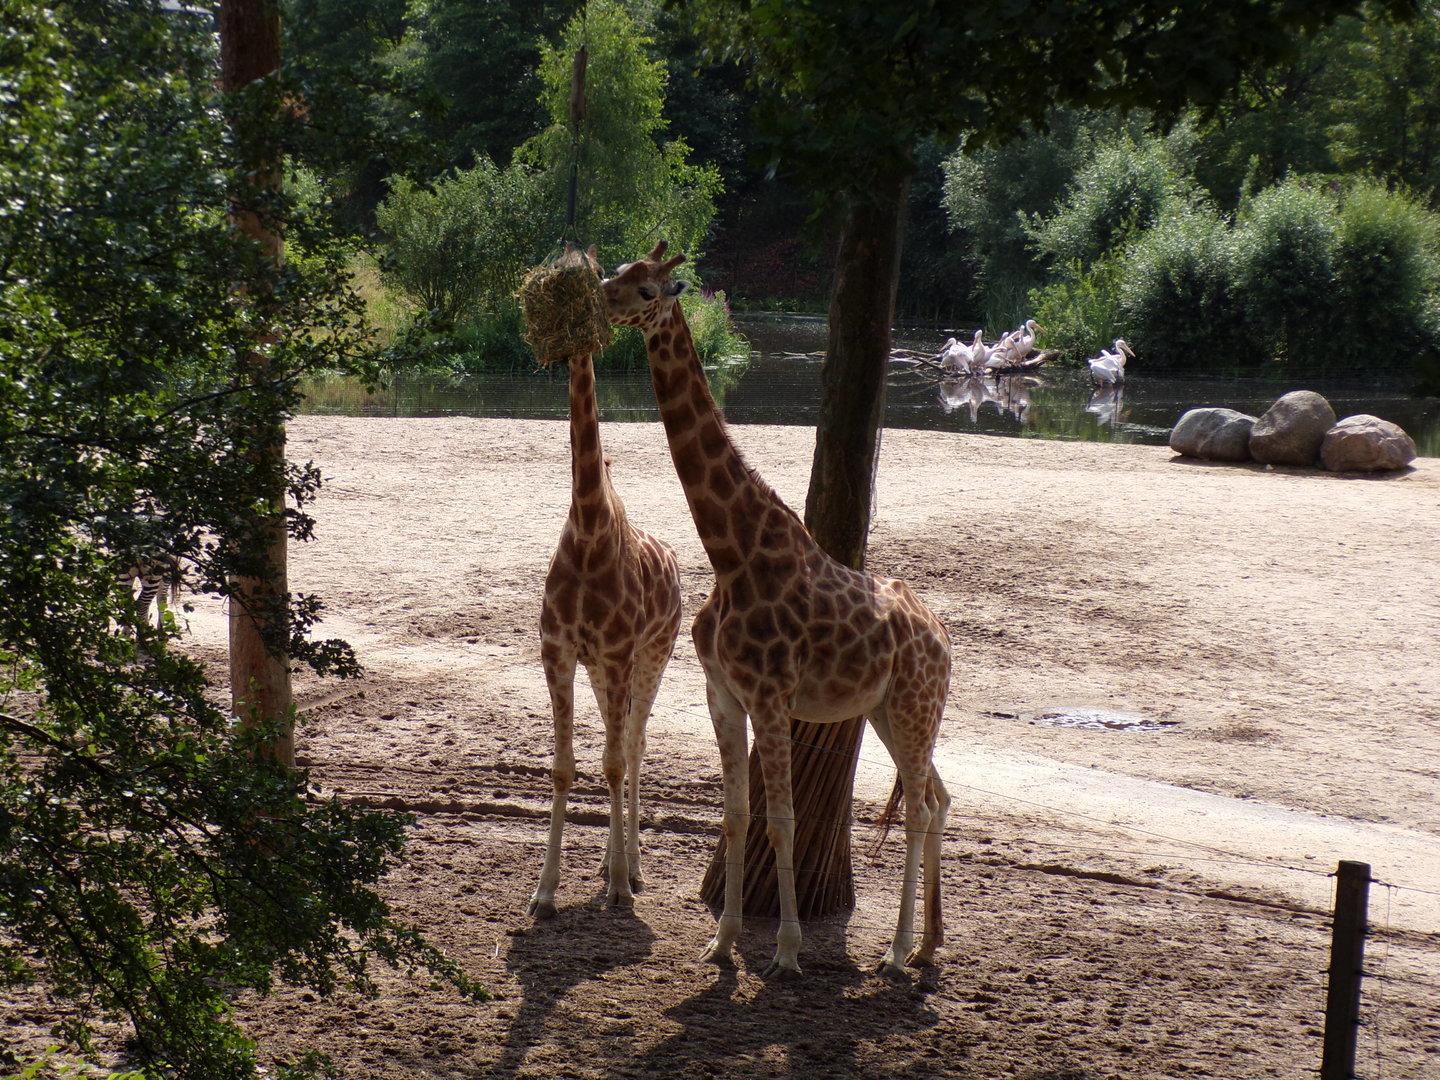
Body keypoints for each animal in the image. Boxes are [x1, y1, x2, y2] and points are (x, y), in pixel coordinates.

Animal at [529, 327, 682, 918]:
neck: (590, 527)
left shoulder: (618, 652)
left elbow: (615, 763)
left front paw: (619, 885)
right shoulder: (559, 650)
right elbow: (565, 765)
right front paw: (545, 891)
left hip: (653, 655)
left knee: (634, 745)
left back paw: (631, 869)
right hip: (602, 669)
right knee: (620, 742)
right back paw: (608, 863)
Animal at [602, 242, 952, 978]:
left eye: (645, 288)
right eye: (615, 272)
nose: (597, 298)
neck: (732, 553)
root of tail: (944, 641)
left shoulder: (771, 695)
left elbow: (783, 820)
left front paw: (787, 951)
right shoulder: (723, 692)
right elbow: (737, 815)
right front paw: (722, 941)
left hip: (913, 707)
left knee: (916, 807)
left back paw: (895, 950)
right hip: (891, 711)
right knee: (937, 796)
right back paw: (928, 943)